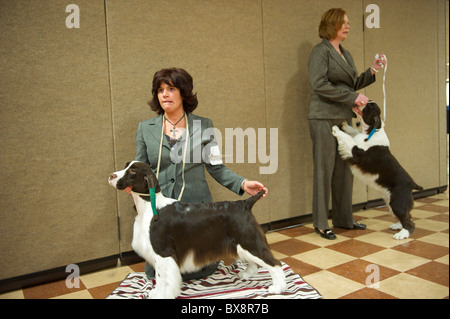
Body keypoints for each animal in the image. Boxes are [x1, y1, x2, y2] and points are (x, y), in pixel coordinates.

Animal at [107, 162, 286, 300]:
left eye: (132, 171)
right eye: (126, 166)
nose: (111, 175)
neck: (149, 206)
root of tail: (245, 203)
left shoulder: (162, 252)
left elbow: (162, 278)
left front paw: (160, 295)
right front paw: (155, 293)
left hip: (249, 240)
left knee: (275, 264)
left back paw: (277, 288)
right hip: (242, 242)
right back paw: (247, 274)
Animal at [330, 102, 422, 240]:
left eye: (369, 107)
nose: (361, 102)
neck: (373, 131)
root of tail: (412, 184)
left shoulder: (356, 153)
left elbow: (347, 139)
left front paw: (336, 129)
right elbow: (353, 132)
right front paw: (345, 125)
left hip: (397, 202)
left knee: (409, 222)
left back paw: (401, 234)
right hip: (391, 201)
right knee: (407, 216)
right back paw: (398, 226)